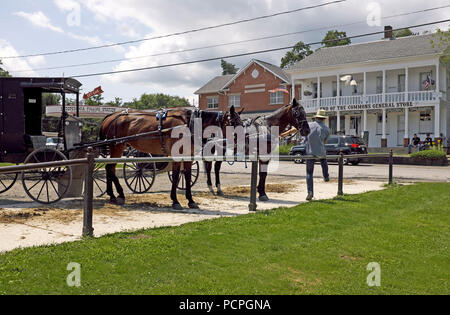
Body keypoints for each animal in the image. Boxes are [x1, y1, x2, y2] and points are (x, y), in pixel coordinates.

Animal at [100, 107, 243, 211]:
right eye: (233, 123)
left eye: (242, 123)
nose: (241, 143)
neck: (189, 124)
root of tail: (111, 116)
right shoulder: (177, 155)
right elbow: (175, 176)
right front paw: (175, 201)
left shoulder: (188, 156)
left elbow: (187, 176)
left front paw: (191, 201)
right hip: (116, 146)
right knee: (110, 168)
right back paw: (118, 194)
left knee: (109, 168)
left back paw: (112, 195)